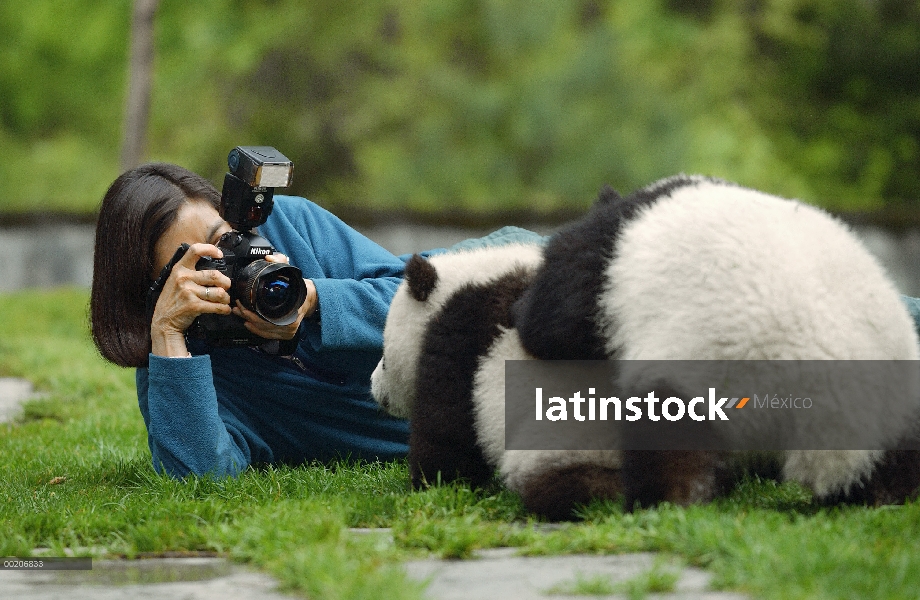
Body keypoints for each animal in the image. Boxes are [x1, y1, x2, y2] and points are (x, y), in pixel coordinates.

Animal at [370, 245, 620, 520]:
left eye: (385, 357)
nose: (374, 387)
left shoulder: (464, 335)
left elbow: (448, 426)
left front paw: (434, 484)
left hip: (568, 439)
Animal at [512, 176, 920, 508]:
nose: (514, 308)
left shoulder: (601, 269)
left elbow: (556, 320)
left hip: (716, 362)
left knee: (670, 441)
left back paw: (664, 501)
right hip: (897, 389)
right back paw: (887, 494)